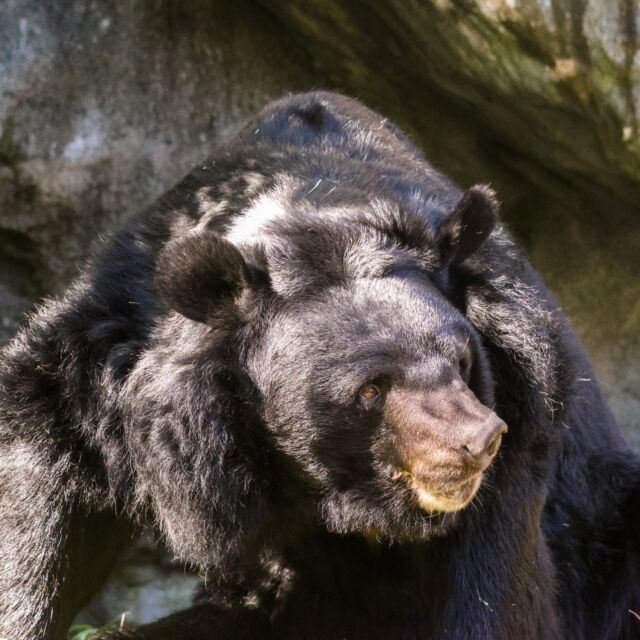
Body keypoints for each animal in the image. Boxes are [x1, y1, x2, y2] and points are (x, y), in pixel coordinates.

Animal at [0, 91, 636, 640]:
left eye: (462, 359)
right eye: (370, 390)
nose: (477, 441)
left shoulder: (525, 400)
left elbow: (494, 579)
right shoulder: (103, 369)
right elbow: (41, 504)